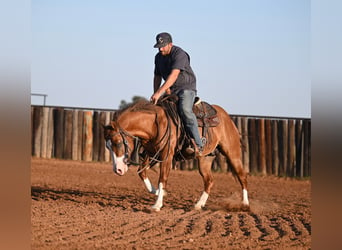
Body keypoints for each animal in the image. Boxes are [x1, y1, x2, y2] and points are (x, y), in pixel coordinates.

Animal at [103, 98, 250, 212]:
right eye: (108, 146)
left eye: (118, 142)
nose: (118, 170)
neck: (153, 125)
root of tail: (227, 117)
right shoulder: (151, 154)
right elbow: (142, 172)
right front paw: (158, 192)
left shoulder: (166, 156)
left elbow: (162, 178)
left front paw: (157, 205)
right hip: (205, 159)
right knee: (209, 181)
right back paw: (199, 205)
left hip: (232, 153)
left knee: (242, 176)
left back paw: (245, 204)